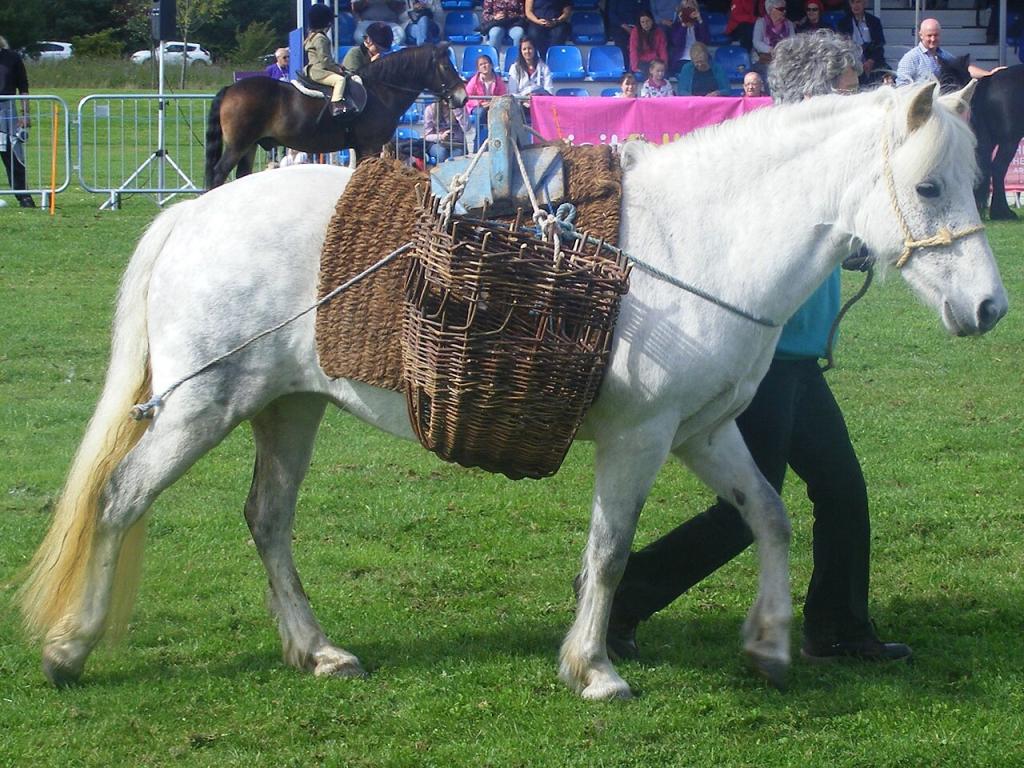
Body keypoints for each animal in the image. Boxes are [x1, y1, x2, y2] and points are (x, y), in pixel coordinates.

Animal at [19, 81, 1006, 700]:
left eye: (973, 179)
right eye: (927, 185)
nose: (990, 307)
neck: (697, 242)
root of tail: (190, 212)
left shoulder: (701, 433)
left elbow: (769, 513)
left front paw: (768, 643)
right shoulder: (639, 439)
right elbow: (609, 552)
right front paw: (594, 669)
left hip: (285, 408)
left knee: (267, 519)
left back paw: (318, 650)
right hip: (203, 404)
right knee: (120, 495)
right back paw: (69, 648)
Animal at [204, 43, 467, 189]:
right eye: (446, 67)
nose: (462, 97)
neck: (380, 91)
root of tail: (232, 88)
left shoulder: (361, 147)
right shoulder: (370, 146)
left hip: (249, 146)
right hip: (238, 145)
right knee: (219, 173)